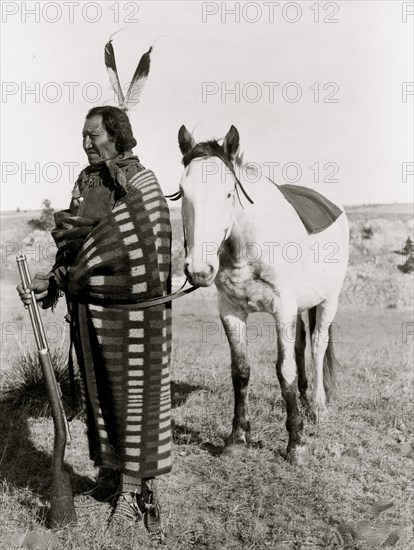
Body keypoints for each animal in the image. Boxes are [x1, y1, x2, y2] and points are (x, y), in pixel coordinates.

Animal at [175, 125, 350, 466]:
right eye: (182, 192)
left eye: (228, 193)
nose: (199, 269)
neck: (247, 245)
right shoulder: (230, 310)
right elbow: (241, 372)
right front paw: (237, 438)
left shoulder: (282, 307)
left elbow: (284, 370)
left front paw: (296, 443)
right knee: (301, 346)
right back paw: (305, 399)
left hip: (329, 301)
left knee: (317, 346)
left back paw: (318, 407)